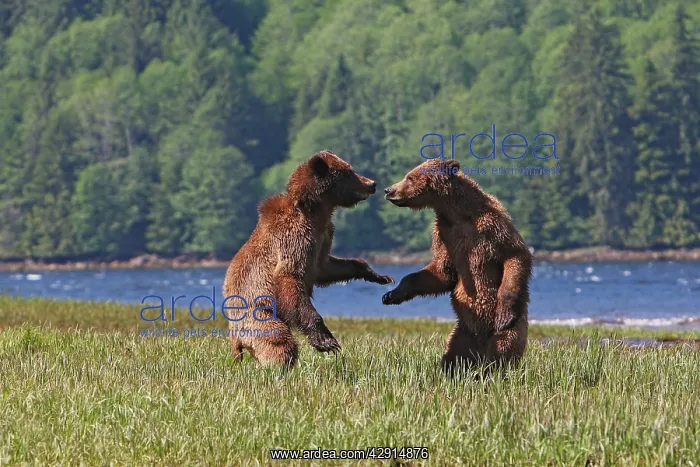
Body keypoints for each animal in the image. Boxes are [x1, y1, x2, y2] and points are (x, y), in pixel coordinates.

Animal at [222, 150, 394, 368]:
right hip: (258, 315)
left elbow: (326, 267)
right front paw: (326, 341)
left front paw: (380, 276)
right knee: (279, 341)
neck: (316, 213)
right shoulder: (294, 238)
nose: (372, 183)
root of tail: (234, 338)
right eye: (349, 172)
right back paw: (279, 367)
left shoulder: (322, 240)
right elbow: (289, 277)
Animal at [381, 158, 532, 373]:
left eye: (410, 177)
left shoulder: (491, 225)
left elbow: (515, 255)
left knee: (502, 349)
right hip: (462, 333)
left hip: (510, 330)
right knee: (453, 356)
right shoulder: (444, 235)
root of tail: (479, 348)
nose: (389, 190)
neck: (457, 213)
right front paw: (391, 294)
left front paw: (504, 312)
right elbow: (443, 271)